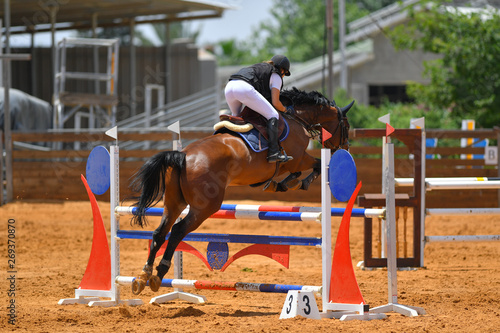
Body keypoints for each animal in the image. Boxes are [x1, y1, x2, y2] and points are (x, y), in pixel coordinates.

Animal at [131, 86, 354, 294]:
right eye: (346, 125)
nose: (345, 148)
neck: (296, 117)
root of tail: (183, 155)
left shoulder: (291, 163)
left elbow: (297, 172)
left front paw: (280, 184)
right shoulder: (298, 158)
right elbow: (317, 165)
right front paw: (296, 183)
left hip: (174, 202)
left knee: (160, 232)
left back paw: (143, 277)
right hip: (205, 207)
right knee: (177, 231)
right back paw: (159, 273)